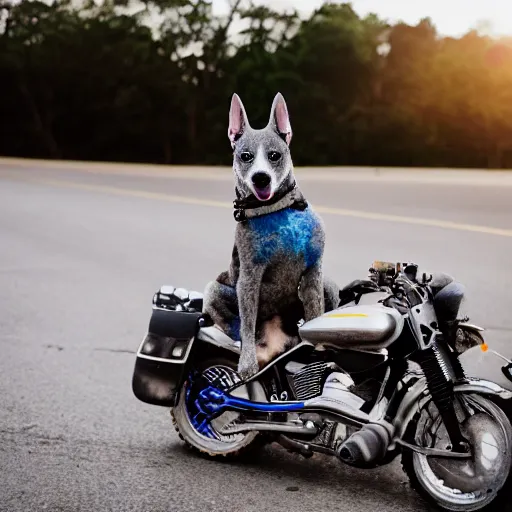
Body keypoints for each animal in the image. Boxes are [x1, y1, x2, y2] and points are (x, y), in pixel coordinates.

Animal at [202, 93, 338, 380]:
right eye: (245, 156)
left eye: (274, 155)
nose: (261, 177)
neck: (277, 209)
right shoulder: (249, 277)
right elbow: (246, 321)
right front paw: (247, 364)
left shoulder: (314, 272)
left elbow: (315, 316)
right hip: (214, 290)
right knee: (237, 328)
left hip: (328, 285)